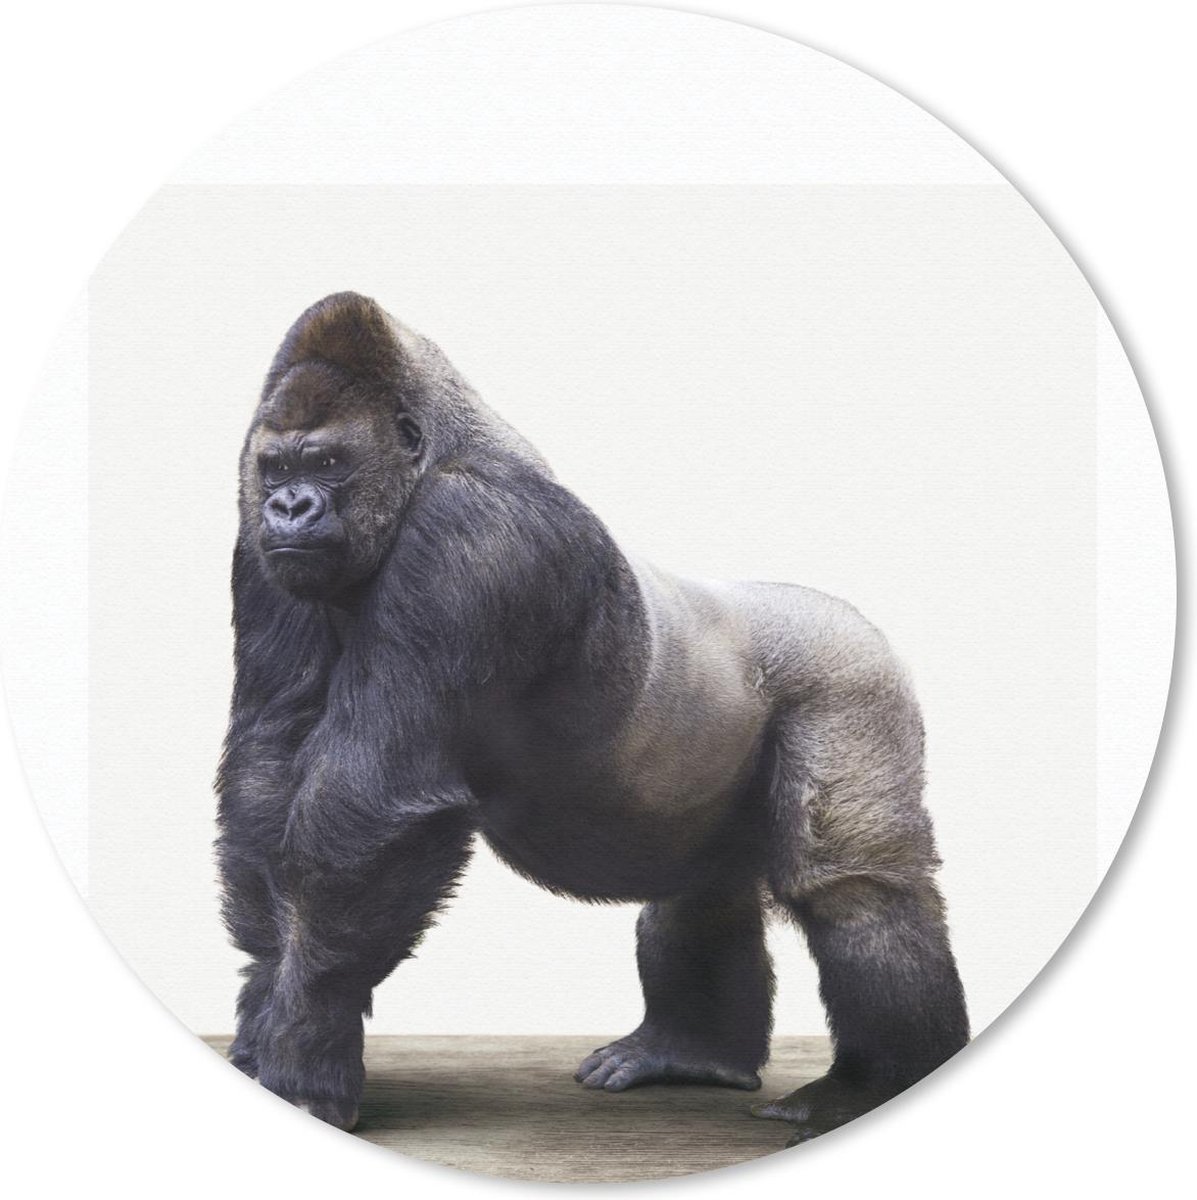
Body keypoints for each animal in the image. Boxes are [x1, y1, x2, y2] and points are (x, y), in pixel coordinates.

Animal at [215, 292, 969, 1149]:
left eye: (328, 463)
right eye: (277, 468)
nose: (288, 505)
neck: (433, 454)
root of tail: (841, 613)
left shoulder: (474, 535)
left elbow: (371, 808)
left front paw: (308, 1043)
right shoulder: (258, 554)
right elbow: (266, 774)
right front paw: (265, 1010)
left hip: (851, 675)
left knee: (854, 887)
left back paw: (875, 1083)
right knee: (703, 887)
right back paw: (693, 1053)